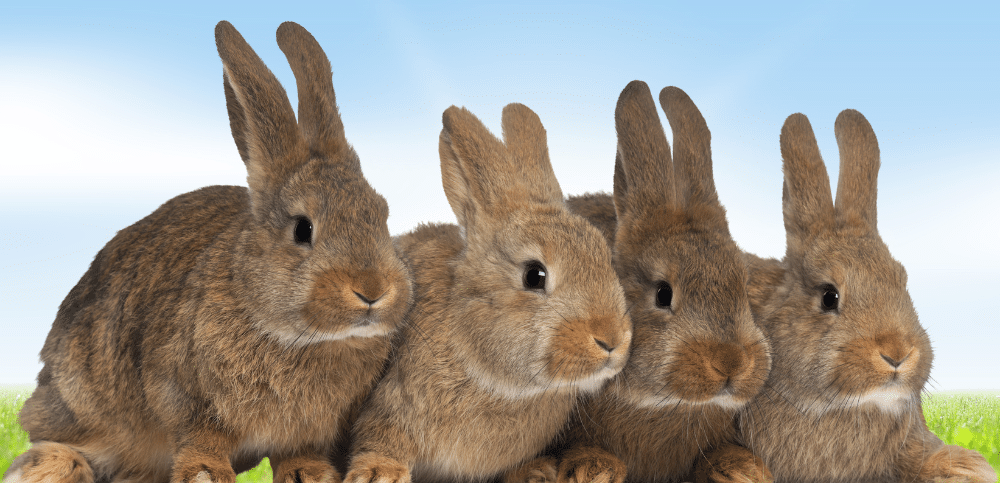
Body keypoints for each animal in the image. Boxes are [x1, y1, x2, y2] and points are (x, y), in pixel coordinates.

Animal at [3, 20, 413, 483]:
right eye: (302, 229)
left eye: (381, 214)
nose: (373, 290)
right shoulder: (183, 394)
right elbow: (202, 438)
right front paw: (205, 474)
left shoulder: (308, 429)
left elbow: (297, 451)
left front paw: (309, 474)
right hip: (82, 398)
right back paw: (52, 466)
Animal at [341, 102, 633, 483]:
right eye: (534, 275)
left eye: (605, 257)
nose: (611, 339)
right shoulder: (392, 401)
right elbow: (380, 438)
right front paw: (379, 474)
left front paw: (535, 472)